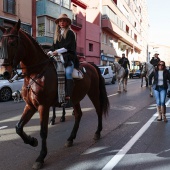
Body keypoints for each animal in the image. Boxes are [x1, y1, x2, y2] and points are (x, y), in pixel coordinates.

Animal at [0, 19, 109, 169]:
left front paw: (41, 157)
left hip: (93, 93)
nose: (5, 73)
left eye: (12, 43)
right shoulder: (30, 106)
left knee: (98, 110)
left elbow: (43, 131)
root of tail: (92, 65)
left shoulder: (43, 107)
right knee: (78, 115)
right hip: (75, 98)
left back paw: (97, 132)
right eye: (1, 44)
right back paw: (70, 139)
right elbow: (18, 127)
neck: (37, 72)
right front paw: (32, 141)